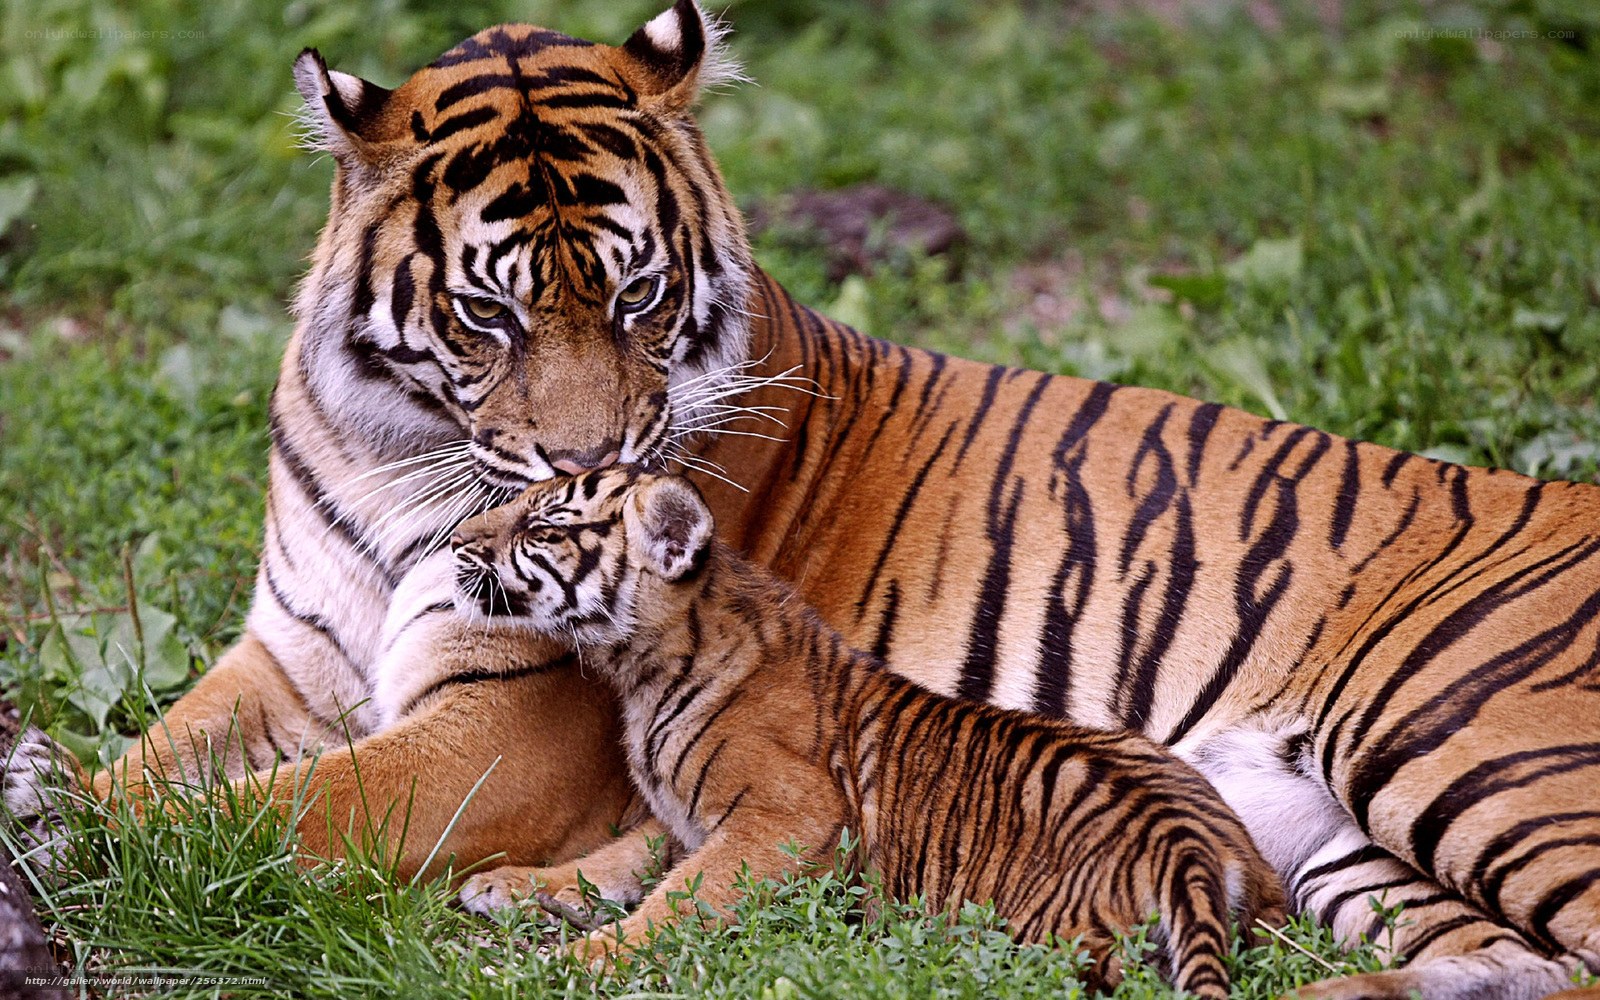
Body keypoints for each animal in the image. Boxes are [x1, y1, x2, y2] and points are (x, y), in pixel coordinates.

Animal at [445, 467, 1287, 998]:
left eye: (543, 526)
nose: (457, 541)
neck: (641, 666)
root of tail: (1189, 845)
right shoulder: (680, 819)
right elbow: (613, 862)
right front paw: (511, 885)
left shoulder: (789, 815)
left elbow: (678, 899)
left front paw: (579, 961)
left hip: (1040, 934)